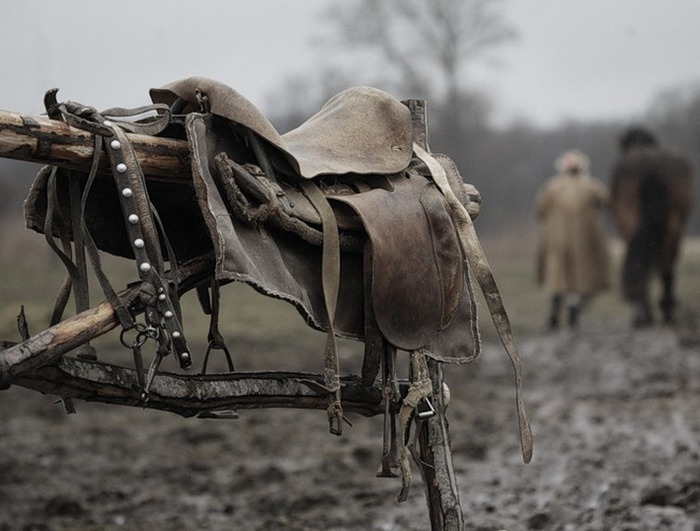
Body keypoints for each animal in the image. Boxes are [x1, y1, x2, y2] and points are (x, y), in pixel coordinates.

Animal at [612, 129, 696, 328]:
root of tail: (651, 164)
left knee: (646, 262)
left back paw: (646, 313)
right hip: (674, 225)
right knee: (666, 264)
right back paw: (666, 309)